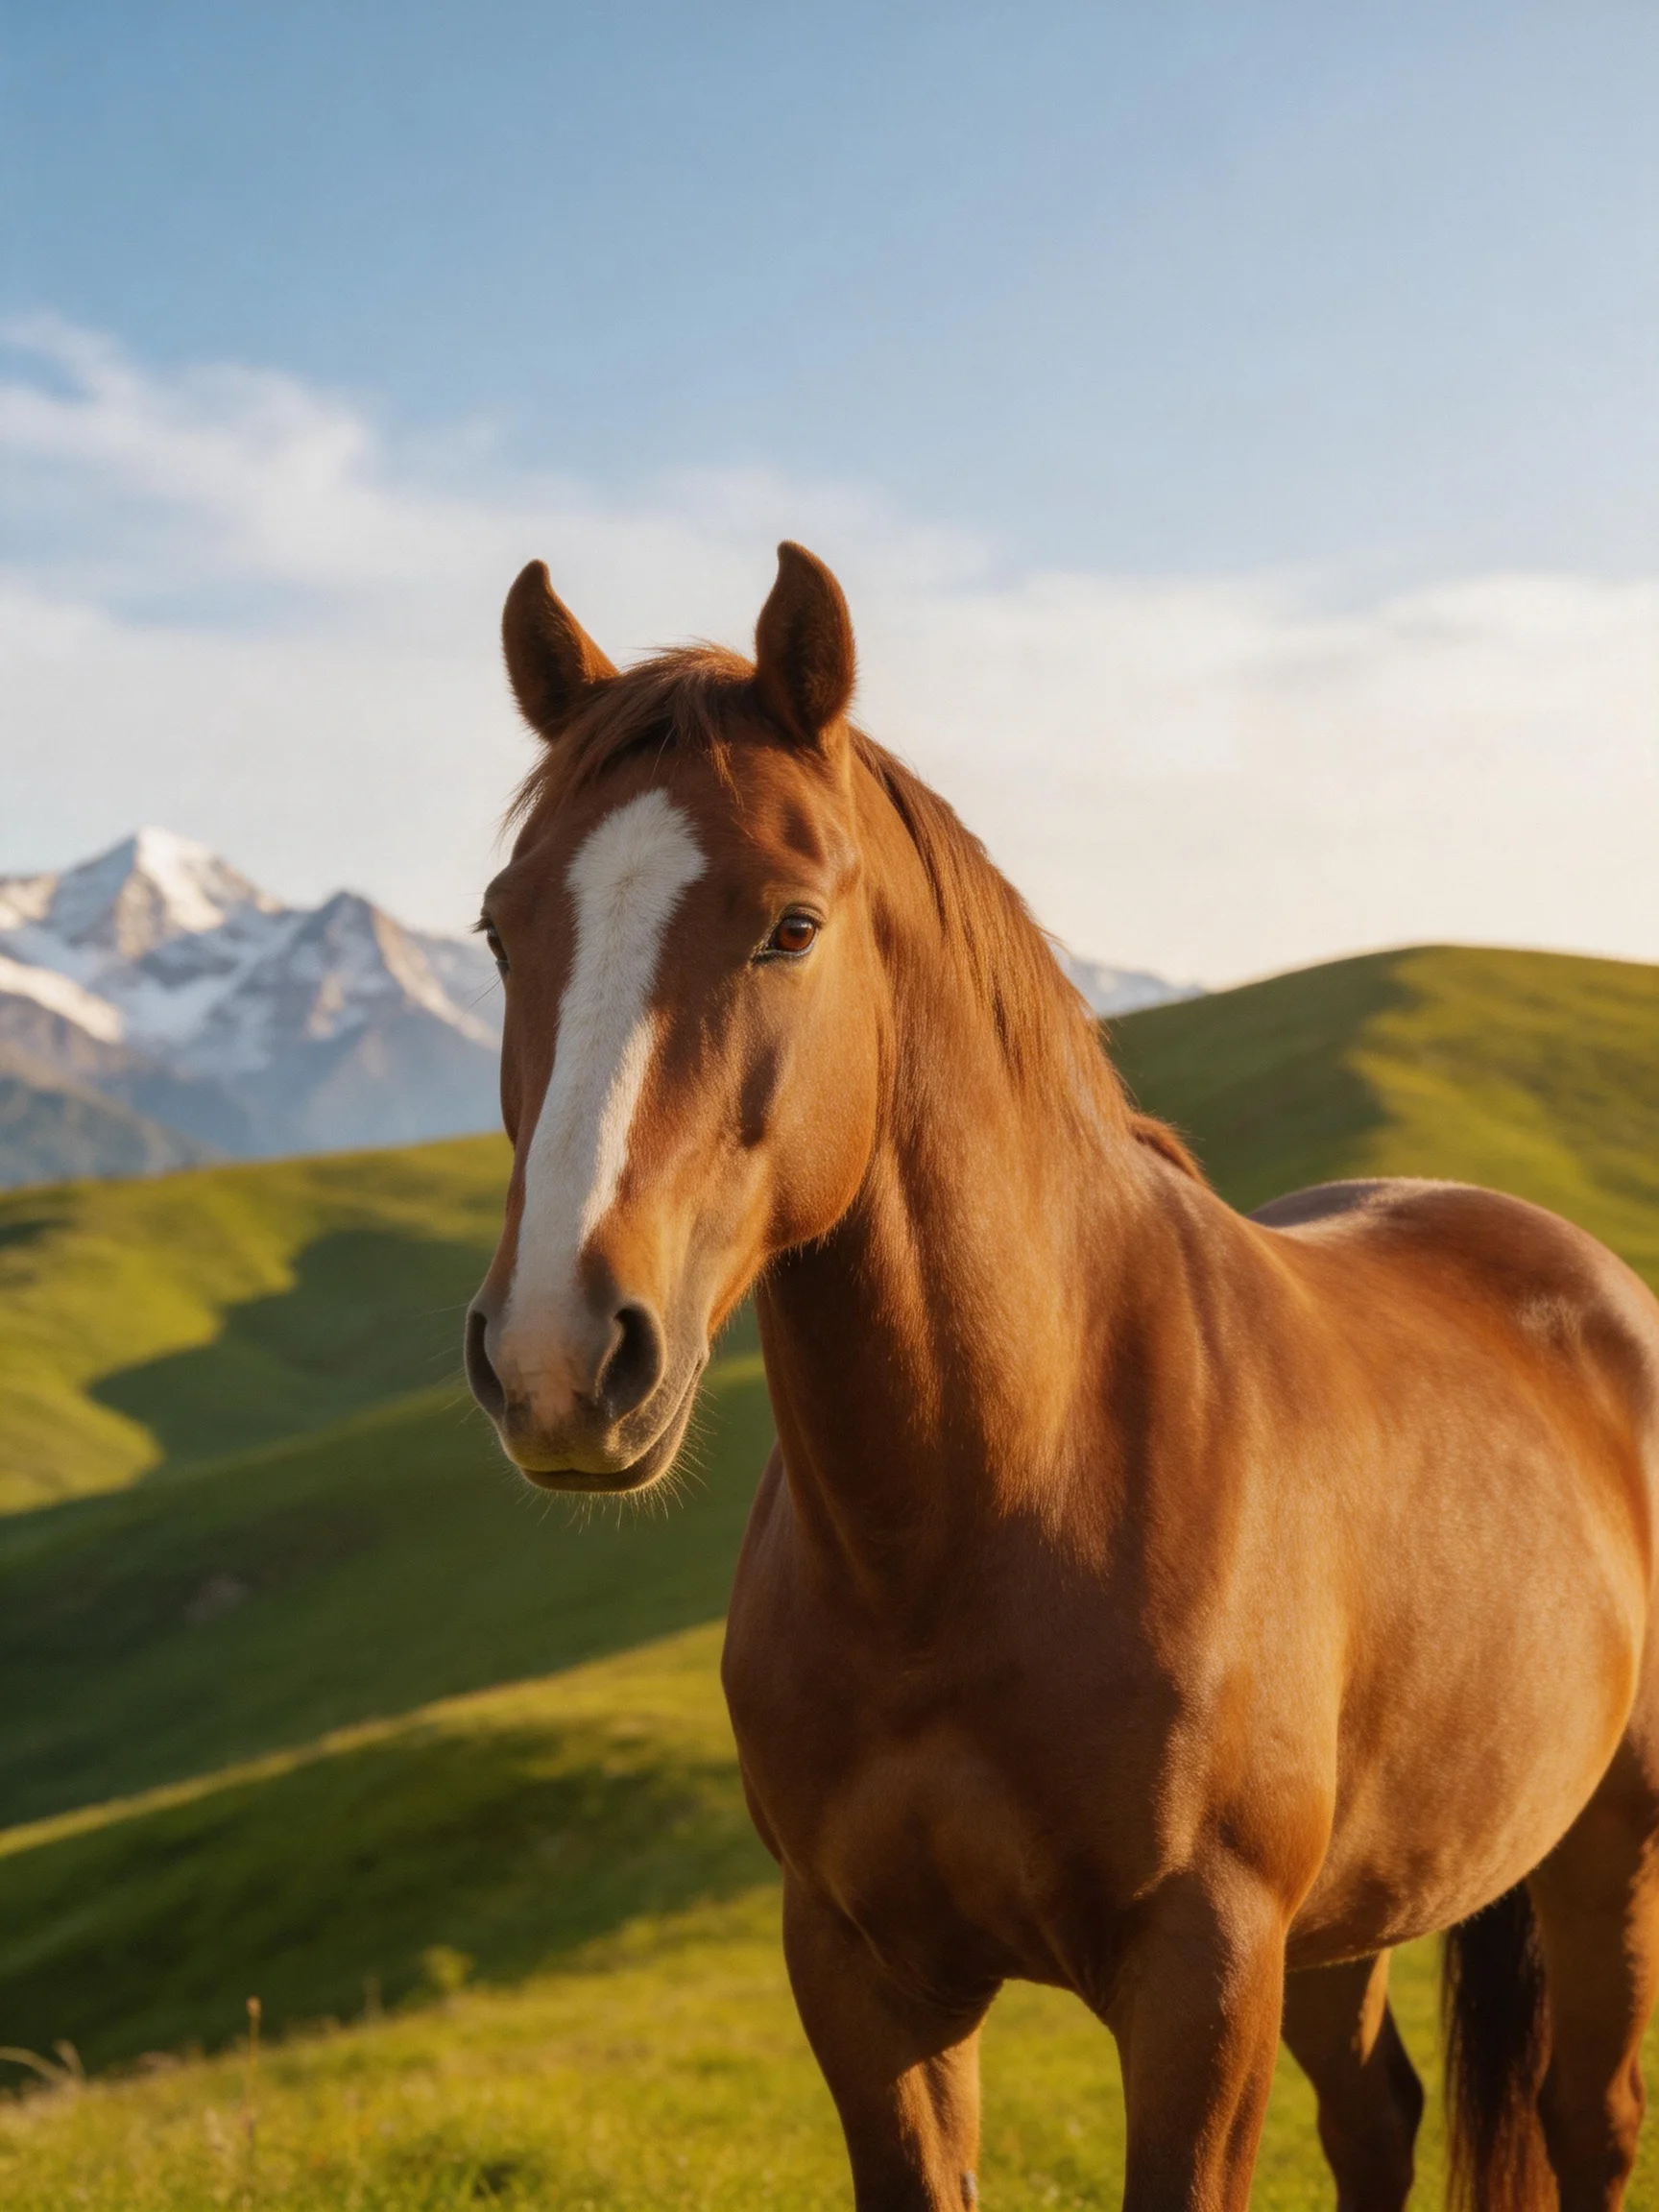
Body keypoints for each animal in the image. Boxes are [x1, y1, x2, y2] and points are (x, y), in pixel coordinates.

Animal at [465, 541, 1659, 2212]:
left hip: (1606, 1855)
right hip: (1347, 1921)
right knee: (1380, 2116)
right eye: (503, 931)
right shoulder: (863, 1975)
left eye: (789, 926)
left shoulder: (1200, 1976)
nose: (561, 1355)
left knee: (1584, 2121)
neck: (998, 1502)